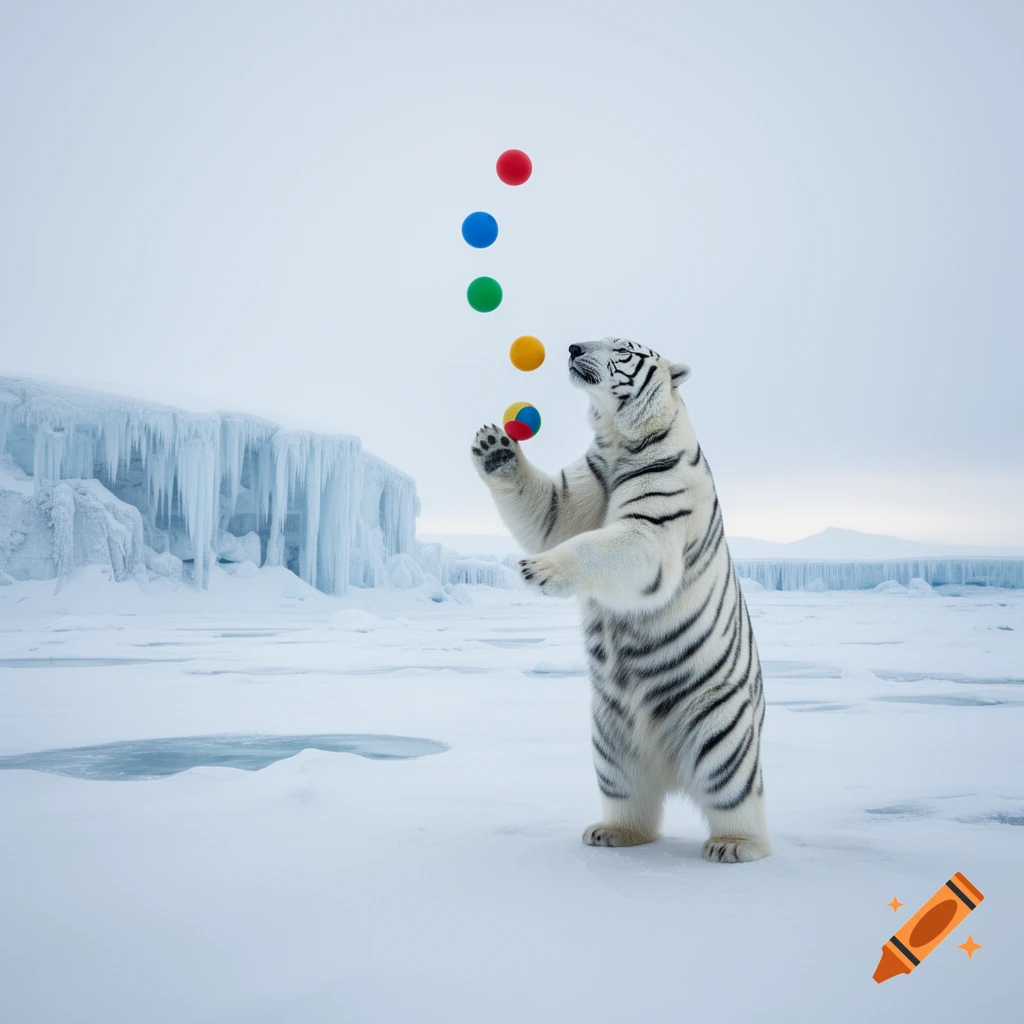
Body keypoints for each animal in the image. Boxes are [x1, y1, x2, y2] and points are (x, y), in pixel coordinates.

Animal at [470, 338, 771, 862]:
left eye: (625, 349)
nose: (573, 347)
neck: (627, 441)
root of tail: (670, 763)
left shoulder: (668, 483)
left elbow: (638, 541)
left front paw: (539, 569)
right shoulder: (595, 472)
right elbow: (553, 511)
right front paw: (494, 446)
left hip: (717, 718)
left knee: (729, 781)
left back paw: (733, 844)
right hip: (609, 730)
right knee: (626, 782)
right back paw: (612, 831)